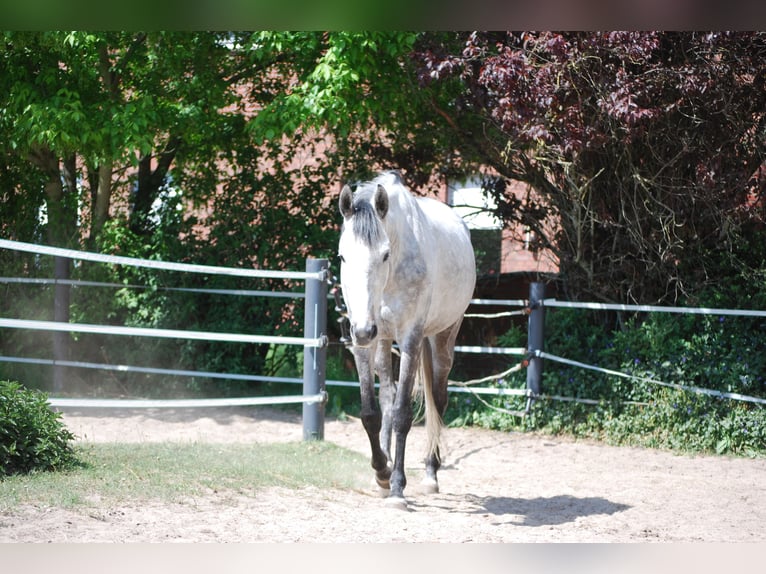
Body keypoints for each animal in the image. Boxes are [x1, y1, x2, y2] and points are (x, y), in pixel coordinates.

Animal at [337, 171, 476, 509]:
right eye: (343, 257)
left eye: (384, 254)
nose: (364, 329)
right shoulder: (363, 343)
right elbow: (371, 412)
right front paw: (381, 472)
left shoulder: (411, 339)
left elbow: (402, 414)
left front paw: (398, 488)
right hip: (383, 342)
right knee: (387, 395)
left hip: (442, 338)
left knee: (438, 400)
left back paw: (430, 473)